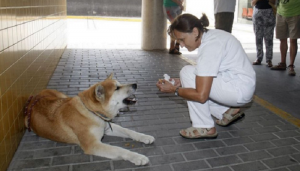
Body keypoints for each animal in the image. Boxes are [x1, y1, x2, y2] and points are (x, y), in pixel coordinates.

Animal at [24, 74, 156, 166]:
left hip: (63, 97)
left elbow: (129, 131)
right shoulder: (93, 145)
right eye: (117, 88)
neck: (92, 112)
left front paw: (144, 137)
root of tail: (34, 97)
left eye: (119, 84)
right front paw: (137, 157)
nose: (135, 84)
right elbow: (119, 149)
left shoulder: (107, 127)